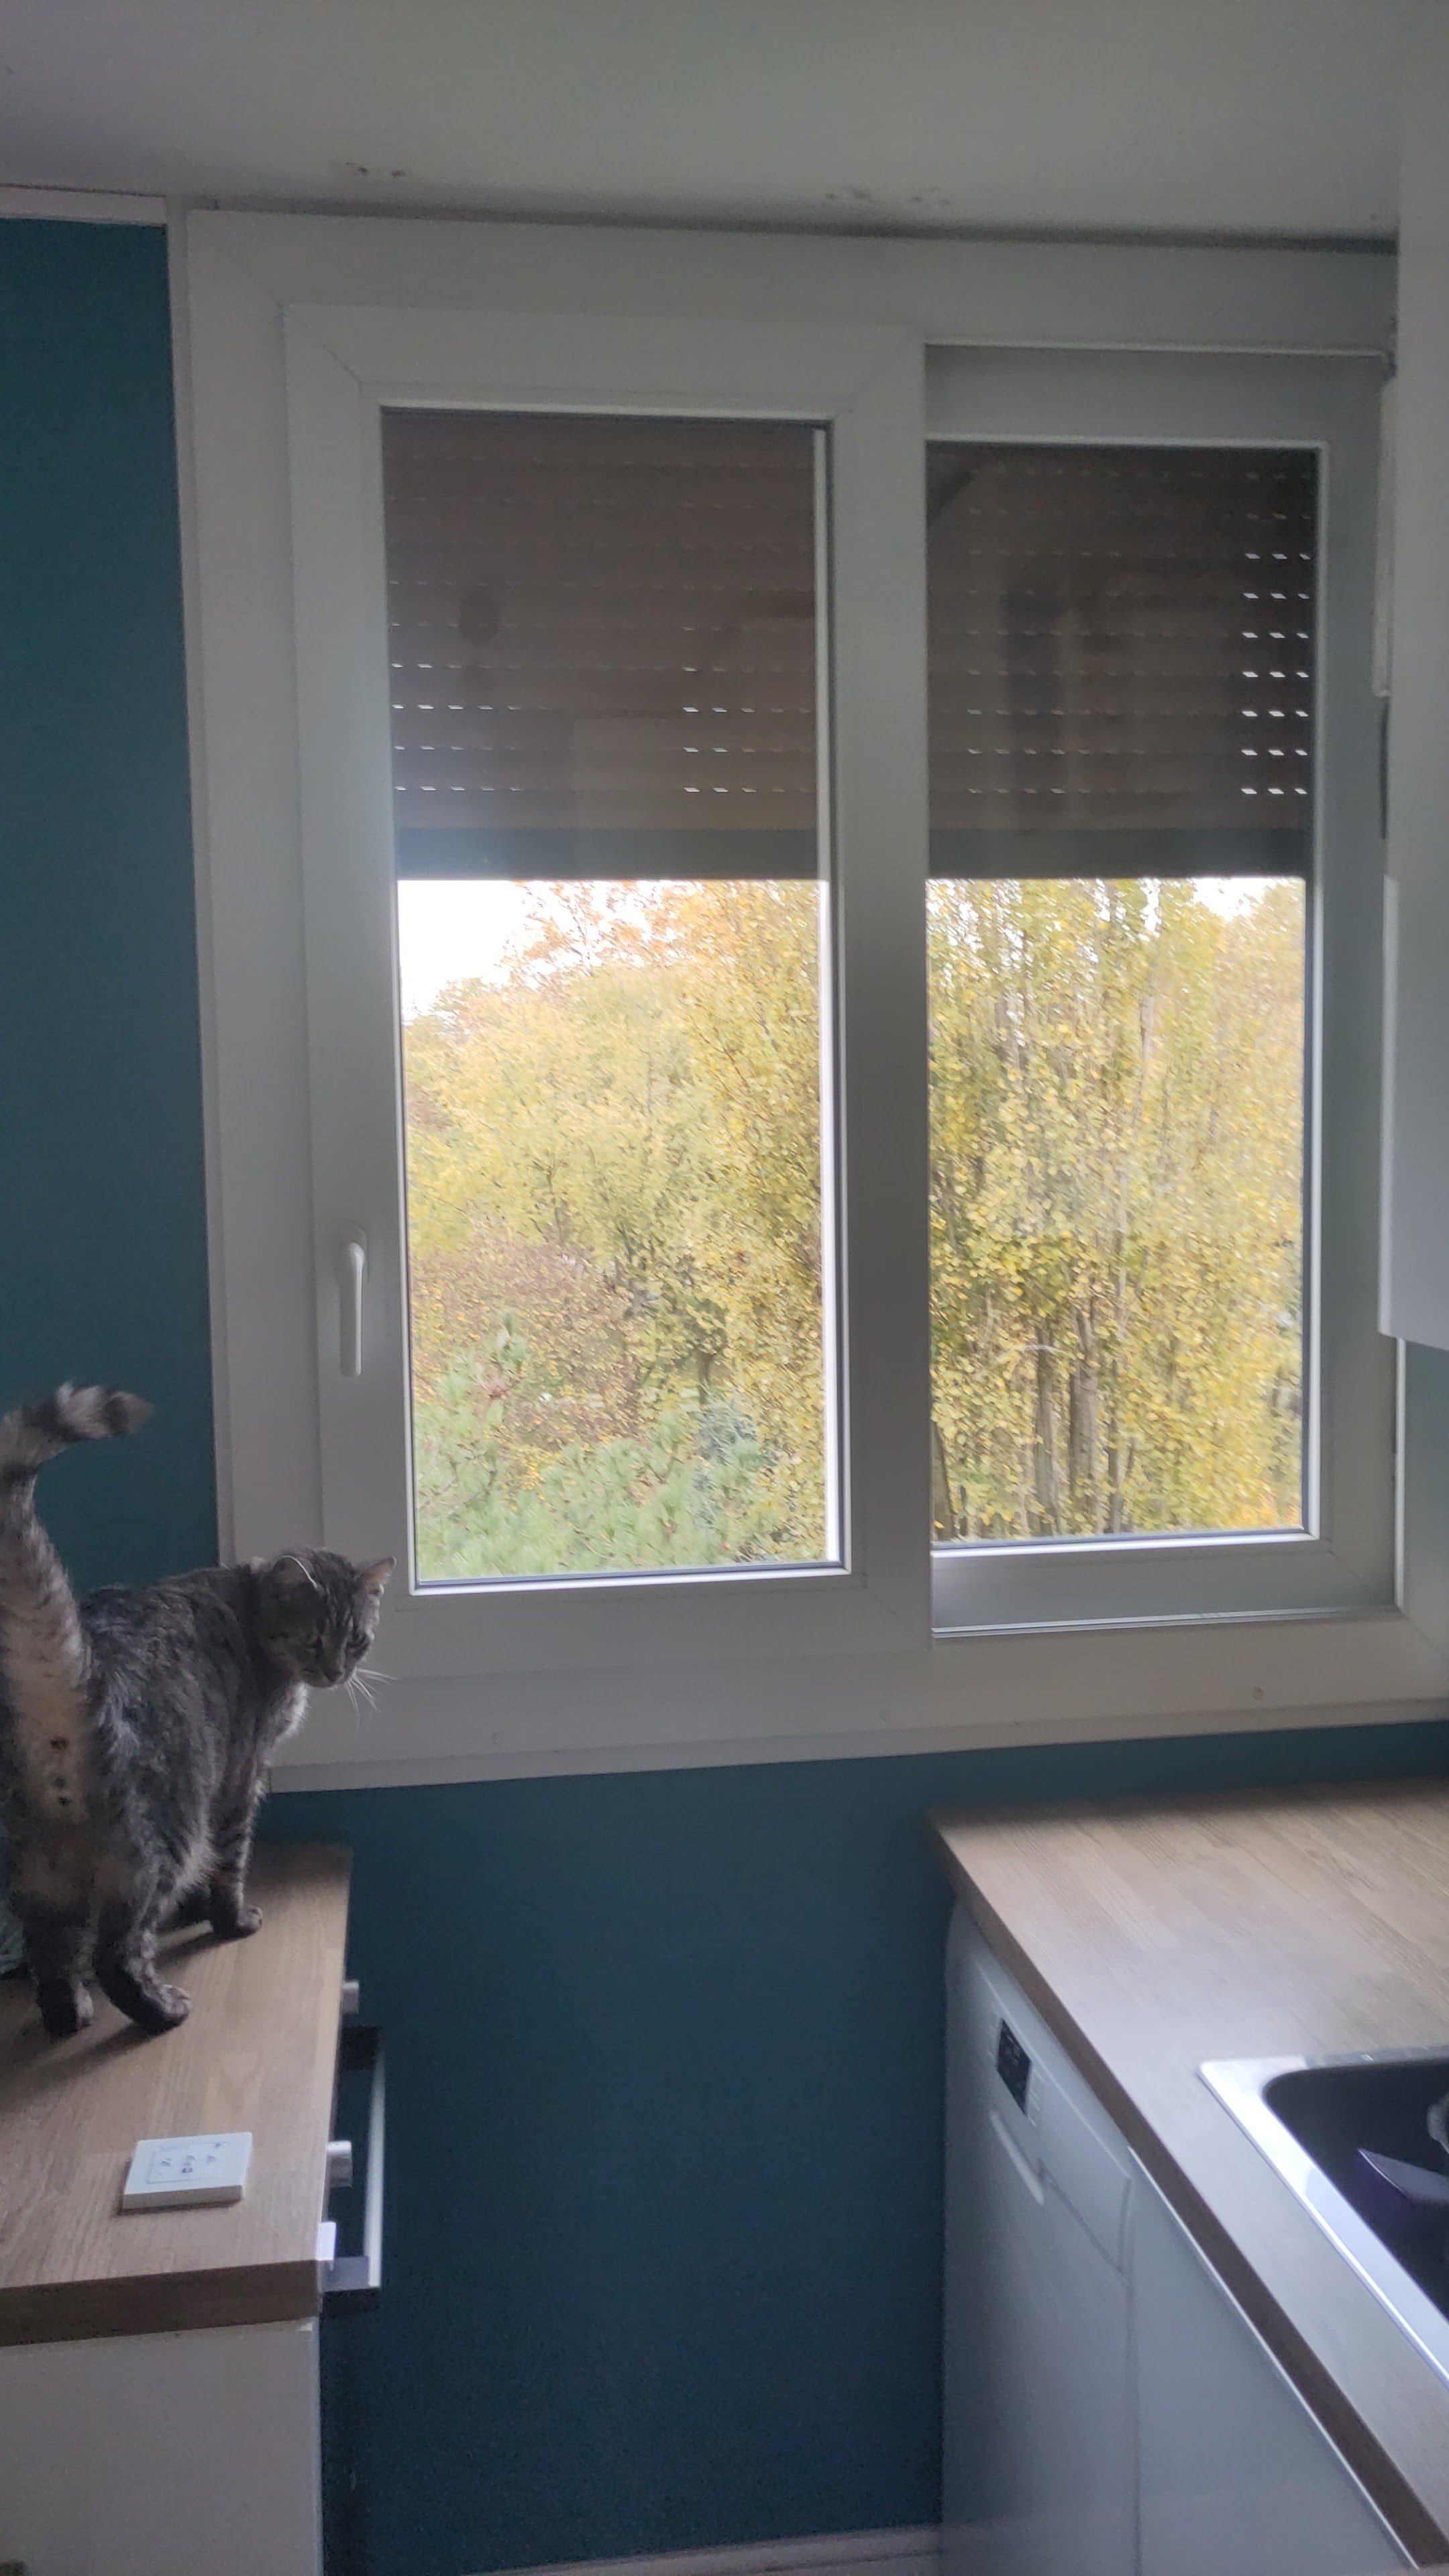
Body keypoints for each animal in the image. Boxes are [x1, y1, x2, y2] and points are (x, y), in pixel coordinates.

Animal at [0, 1384, 392, 2040]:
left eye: (357, 1640)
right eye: (314, 1640)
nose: (337, 1671)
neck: (252, 1603)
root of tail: (76, 1680)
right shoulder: (241, 1775)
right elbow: (230, 1863)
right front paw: (231, 1920)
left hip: (40, 1873)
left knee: (52, 1954)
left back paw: (70, 2014)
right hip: (164, 1839)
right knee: (117, 1953)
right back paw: (161, 2010)